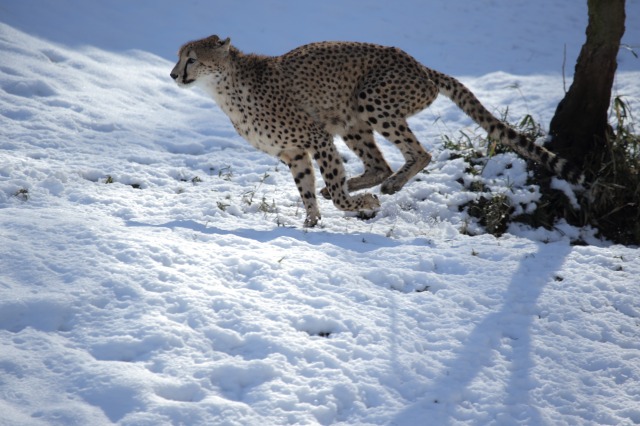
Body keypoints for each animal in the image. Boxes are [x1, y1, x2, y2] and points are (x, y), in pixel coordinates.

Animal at [169, 35, 580, 228]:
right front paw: (311, 222)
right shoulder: (295, 152)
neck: (226, 88)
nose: (173, 74)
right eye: (179, 57)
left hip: (371, 100)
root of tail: (419, 65)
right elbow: (308, 189)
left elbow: (335, 190)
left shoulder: (317, 137)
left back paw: (389, 187)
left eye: (192, 59)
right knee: (380, 164)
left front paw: (357, 205)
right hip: (351, 120)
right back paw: (371, 185)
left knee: (419, 153)